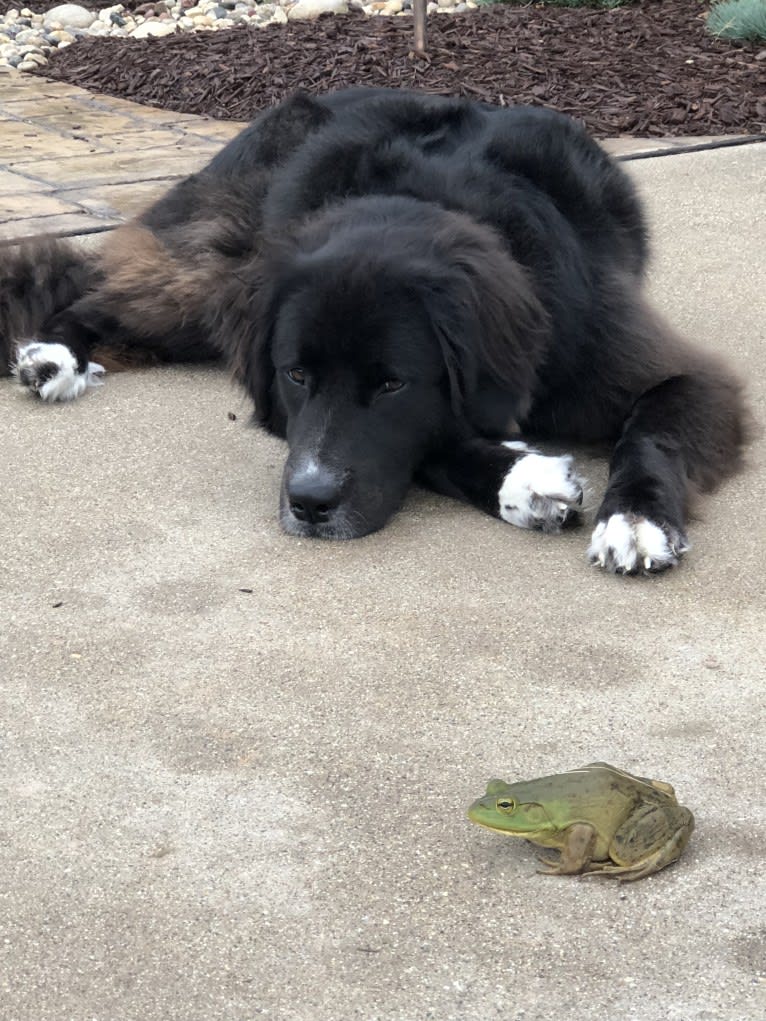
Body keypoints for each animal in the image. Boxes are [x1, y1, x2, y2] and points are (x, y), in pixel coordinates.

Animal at [0, 88, 751, 575]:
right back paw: (52, 354)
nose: (307, 505)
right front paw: (524, 479)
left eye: (391, 383)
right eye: (296, 374)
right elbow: (434, 444)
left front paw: (635, 518)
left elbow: (650, 431)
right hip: (212, 275)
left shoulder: (670, 370)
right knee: (94, 293)